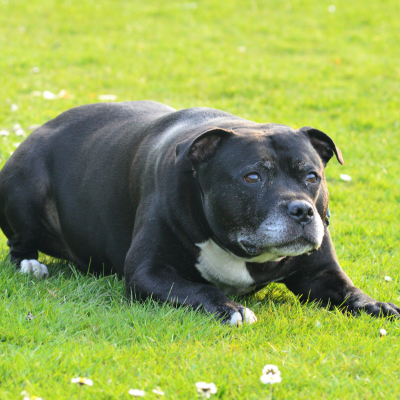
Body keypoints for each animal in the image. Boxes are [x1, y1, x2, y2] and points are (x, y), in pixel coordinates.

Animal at [1, 101, 398, 324]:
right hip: (26, 182)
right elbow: (197, 289)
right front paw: (229, 308)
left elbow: (349, 291)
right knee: (18, 245)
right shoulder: (149, 273)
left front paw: (376, 305)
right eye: (252, 177)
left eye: (312, 176)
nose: (301, 210)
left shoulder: (320, 273)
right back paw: (31, 265)